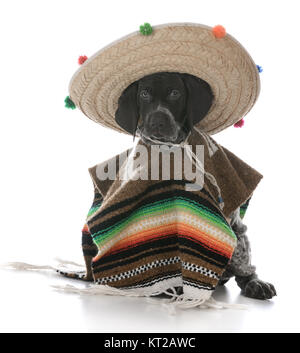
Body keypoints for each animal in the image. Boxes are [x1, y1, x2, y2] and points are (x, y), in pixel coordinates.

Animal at [115, 71, 276, 300]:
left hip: (239, 236)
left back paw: (254, 283)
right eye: (144, 94)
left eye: (175, 93)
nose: (157, 122)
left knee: (243, 265)